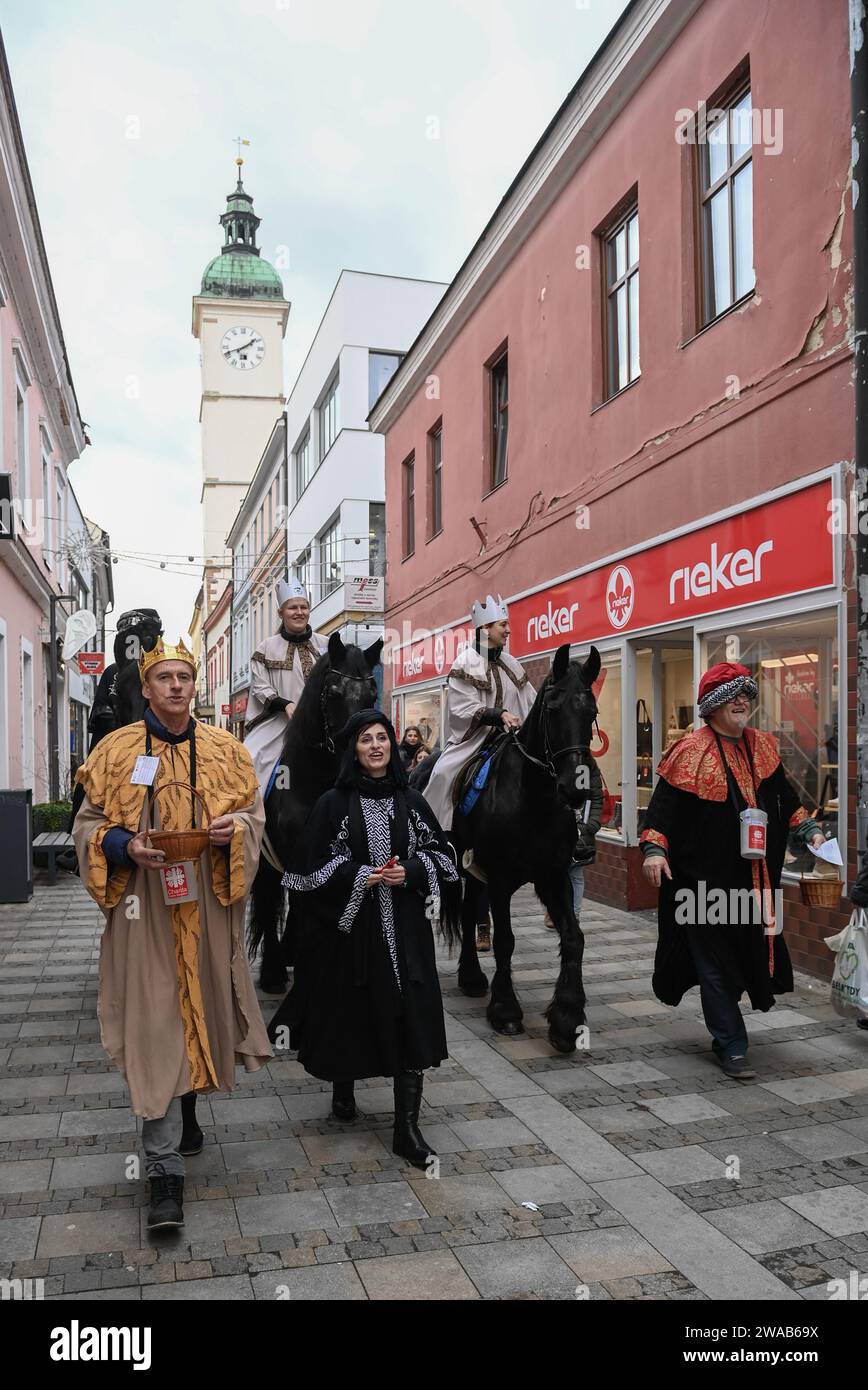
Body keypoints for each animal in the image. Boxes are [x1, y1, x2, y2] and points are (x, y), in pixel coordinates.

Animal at [450, 644, 600, 1045]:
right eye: (552, 709)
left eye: (592, 712)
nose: (576, 788)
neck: (533, 798)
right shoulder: (500, 878)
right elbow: (505, 940)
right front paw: (505, 1011)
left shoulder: (554, 875)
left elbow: (575, 937)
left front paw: (567, 1017)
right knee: (468, 914)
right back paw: (472, 977)